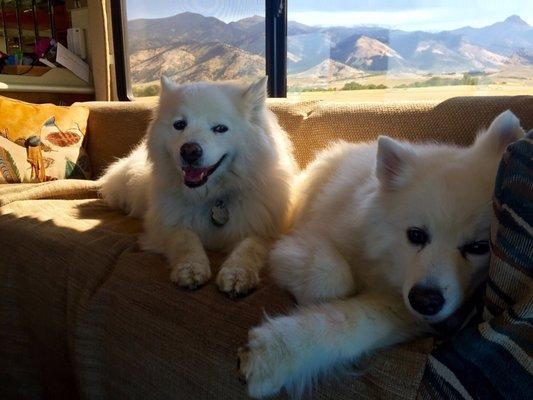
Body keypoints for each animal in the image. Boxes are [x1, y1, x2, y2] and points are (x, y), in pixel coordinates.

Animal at [98, 77, 296, 296]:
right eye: (179, 125)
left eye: (220, 128)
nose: (190, 151)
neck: (211, 198)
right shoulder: (166, 226)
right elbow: (185, 239)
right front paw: (191, 268)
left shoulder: (264, 230)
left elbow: (249, 247)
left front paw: (237, 274)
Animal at [237, 109, 524, 396]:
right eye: (416, 235)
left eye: (479, 247)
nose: (424, 301)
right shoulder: (302, 239)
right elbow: (334, 279)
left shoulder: (401, 308)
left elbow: (348, 324)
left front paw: (271, 356)